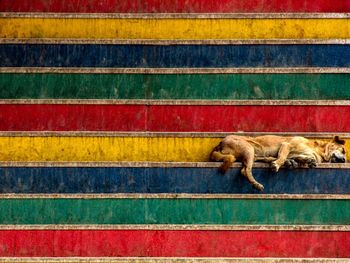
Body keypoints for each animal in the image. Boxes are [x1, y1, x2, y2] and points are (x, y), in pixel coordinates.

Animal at [209, 136, 346, 192]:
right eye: (344, 150)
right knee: (245, 170)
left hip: (256, 154)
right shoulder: (286, 145)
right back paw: (257, 184)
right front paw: (278, 164)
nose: (344, 160)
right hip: (249, 148)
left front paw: (305, 161)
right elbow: (283, 156)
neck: (320, 151)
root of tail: (220, 144)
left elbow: (301, 157)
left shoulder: (299, 153)